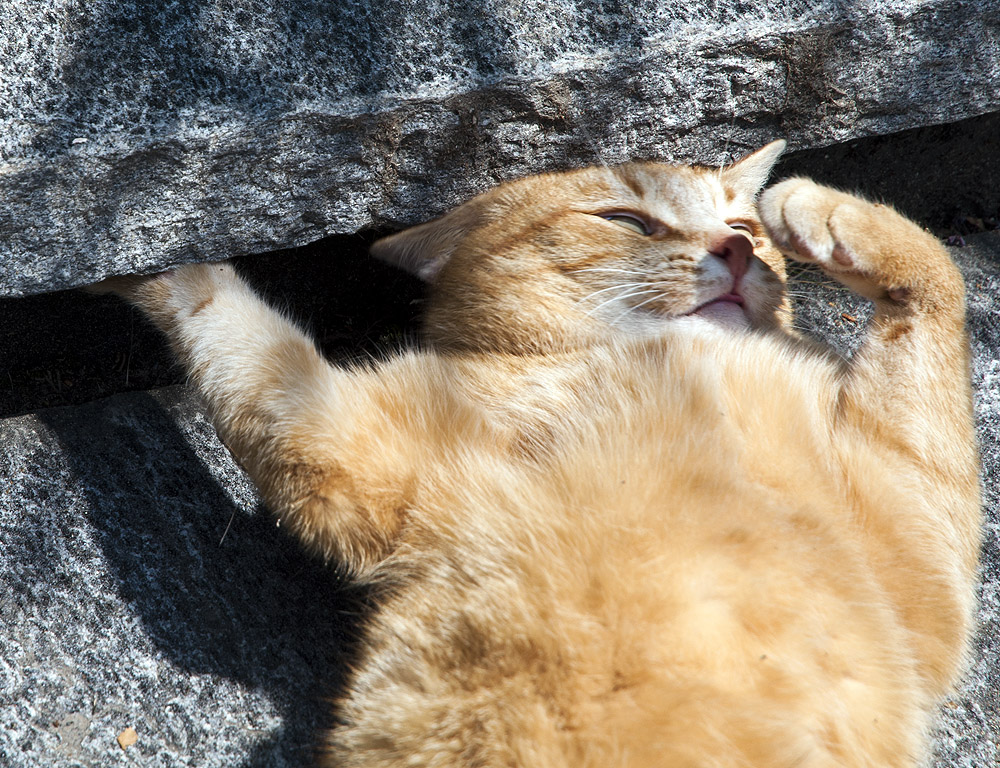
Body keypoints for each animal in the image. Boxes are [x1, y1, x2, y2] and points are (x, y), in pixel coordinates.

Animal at [101, 141, 976, 764]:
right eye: (627, 221)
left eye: (743, 228)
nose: (735, 249)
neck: (687, 361)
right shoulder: (333, 430)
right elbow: (227, 321)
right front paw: (132, 261)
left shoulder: (924, 557)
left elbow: (941, 277)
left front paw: (818, 210)